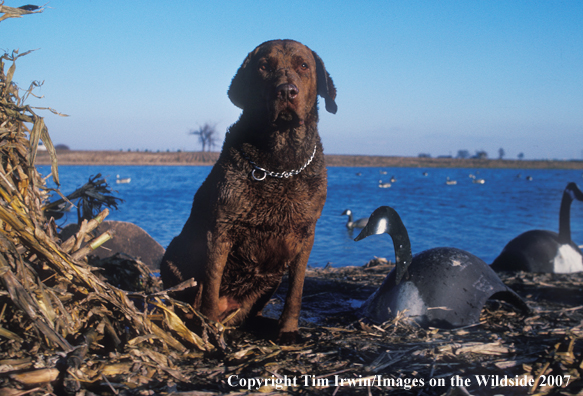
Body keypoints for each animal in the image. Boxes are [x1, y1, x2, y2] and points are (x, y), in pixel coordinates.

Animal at [161, 40, 338, 340]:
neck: (280, 163)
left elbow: (297, 290)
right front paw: (209, 328)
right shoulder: (219, 230)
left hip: (271, 279)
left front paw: (288, 330)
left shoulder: (306, 234)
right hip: (172, 257)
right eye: (264, 66)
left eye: (304, 65)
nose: (286, 91)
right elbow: (211, 284)